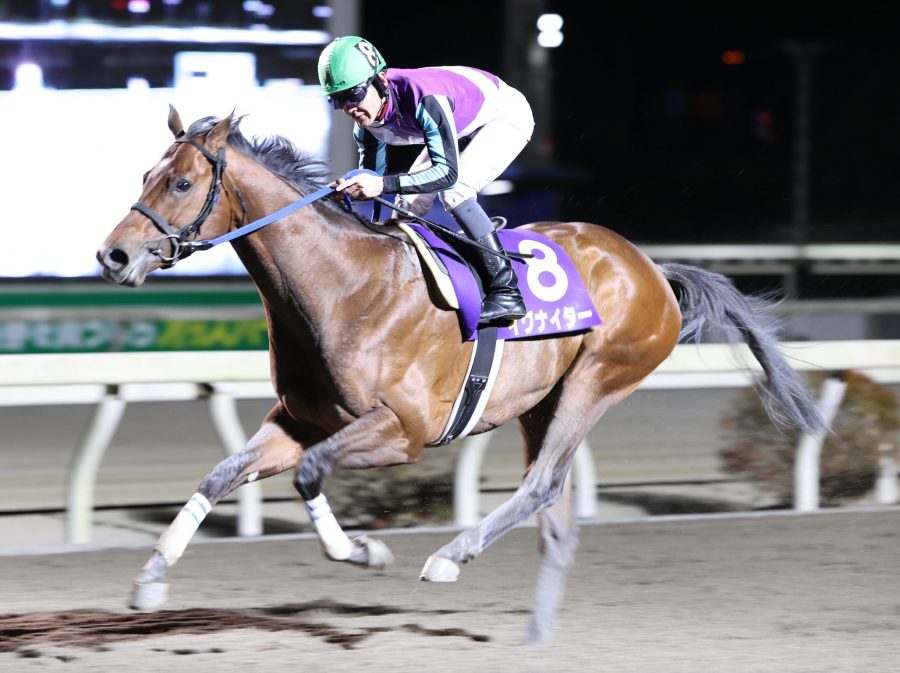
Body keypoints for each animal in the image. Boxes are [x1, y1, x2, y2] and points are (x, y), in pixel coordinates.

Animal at [96, 107, 824, 645]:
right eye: (146, 172)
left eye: (181, 184)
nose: (113, 255)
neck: (343, 286)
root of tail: (652, 268)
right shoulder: (299, 421)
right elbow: (219, 475)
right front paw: (150, 579)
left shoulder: (404, 429)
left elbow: (309, 473)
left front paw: (366, 551)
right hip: (540, 401)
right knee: (556, 515)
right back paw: (534, 636)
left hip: (598, 377)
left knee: (542, 485)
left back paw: (450, 556)